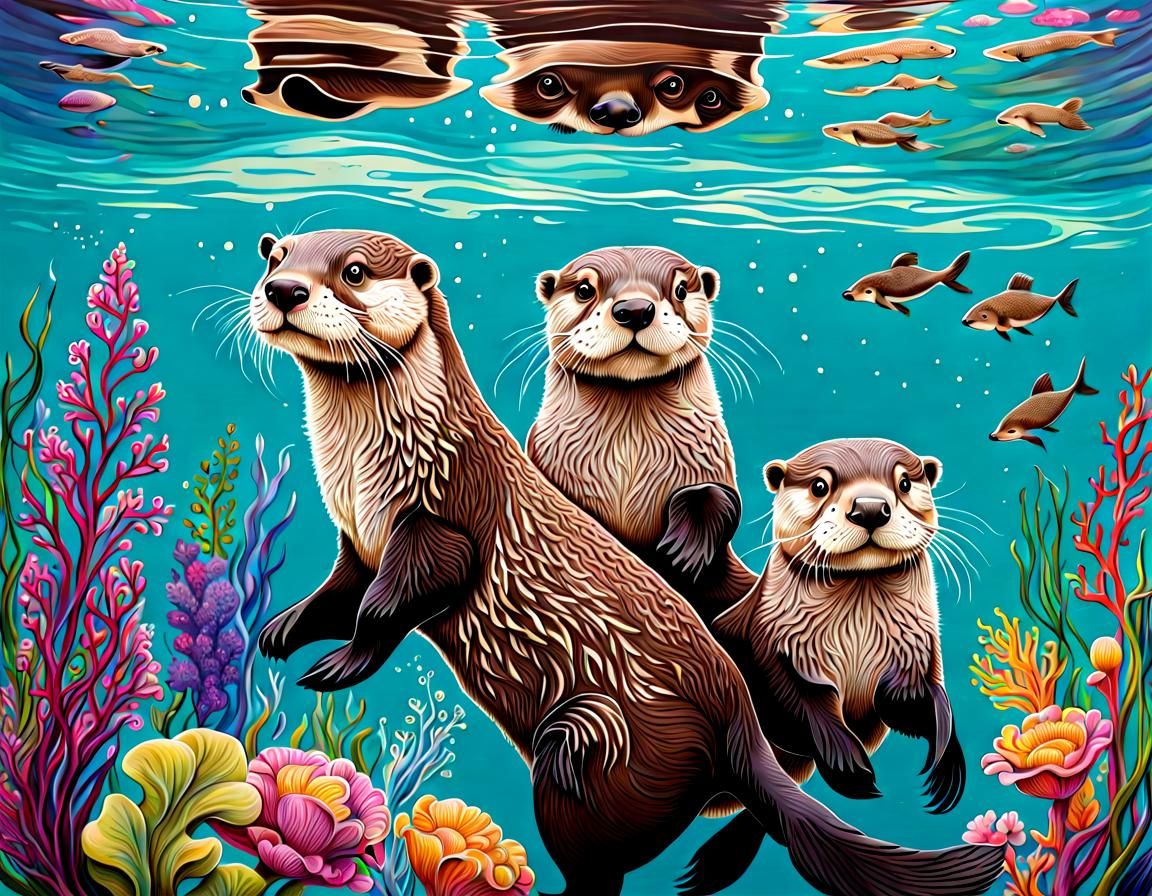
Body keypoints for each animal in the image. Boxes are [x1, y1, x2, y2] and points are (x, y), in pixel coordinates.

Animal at [527, 246, 758, 622]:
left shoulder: (713, 457)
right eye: (584, 290)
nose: (635, 309)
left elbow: (720, 497)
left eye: (681, 290)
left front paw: (684, 547)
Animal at [685, 438, 967, 895]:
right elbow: (801, 700)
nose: (870, 507)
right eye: (820, 485)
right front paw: (848, 763)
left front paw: (945, 760)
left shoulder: (915, 653)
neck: (857, 641)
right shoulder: (774, 647)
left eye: (905, 483)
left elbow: (919, 700)